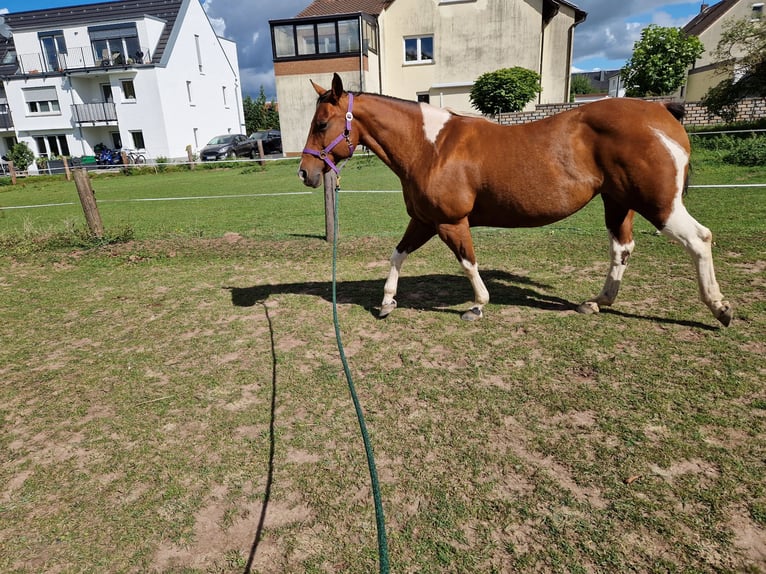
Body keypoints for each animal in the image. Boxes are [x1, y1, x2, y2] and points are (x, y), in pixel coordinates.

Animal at [299, 73, 733, 327]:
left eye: (322, 123)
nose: (305, 172)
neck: (430, 147)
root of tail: (662, 112)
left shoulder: (451, 222)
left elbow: (468, 263)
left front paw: (477, 305)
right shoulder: (424, 220)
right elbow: (397, 254)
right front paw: (387, 301)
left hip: (659, 205)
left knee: (699, 239)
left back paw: (720, 308)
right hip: (617, 202)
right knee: (622, 248)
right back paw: (596, 302)